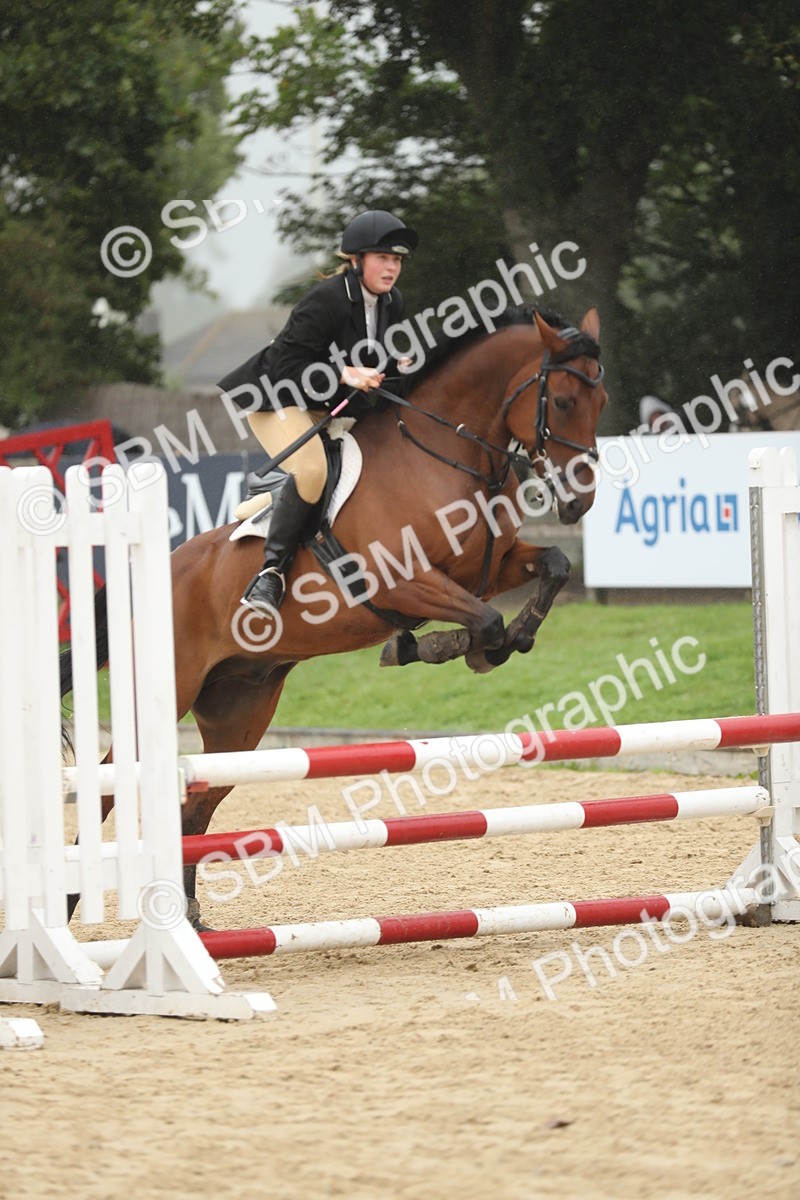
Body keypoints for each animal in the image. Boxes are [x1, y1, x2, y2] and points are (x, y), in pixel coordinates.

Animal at [61, 304, 607, 927]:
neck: (445, 452)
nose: (579, 501)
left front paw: (504, 640)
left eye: (602, 401)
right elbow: (483, 621)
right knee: (108, 788)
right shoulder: (404, 580)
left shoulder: (485, 571)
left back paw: (190, 913)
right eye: (561, 401)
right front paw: (434, 648)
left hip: (239, 716)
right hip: (162, 697)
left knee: (196, 804)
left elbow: (553, 567)